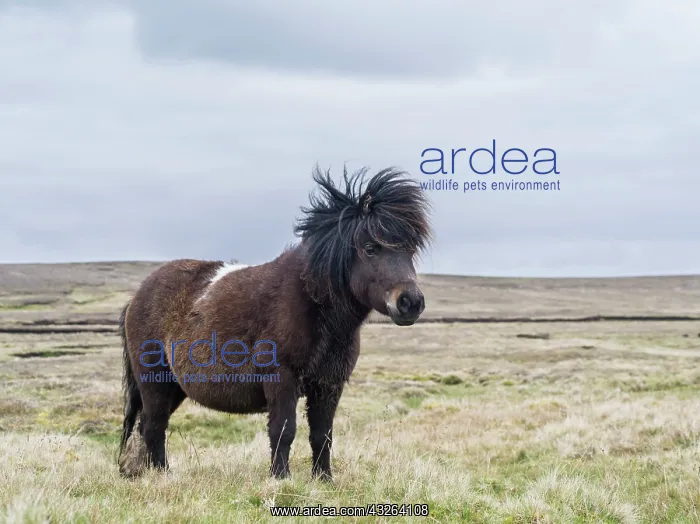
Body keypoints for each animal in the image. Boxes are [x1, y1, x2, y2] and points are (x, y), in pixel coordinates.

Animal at [117, 166, 432, 480]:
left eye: (411, 250)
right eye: (370, 248)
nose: (411, 302)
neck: (313, 304)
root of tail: (136, 298)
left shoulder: (328, 385)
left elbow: (322, 435)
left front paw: (324, 479)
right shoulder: (282, 379)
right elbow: (283, 431)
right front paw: (280, 478)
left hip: (173, 388)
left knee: (147, 426)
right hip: (154, 383)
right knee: (154, 426)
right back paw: (161, 475)